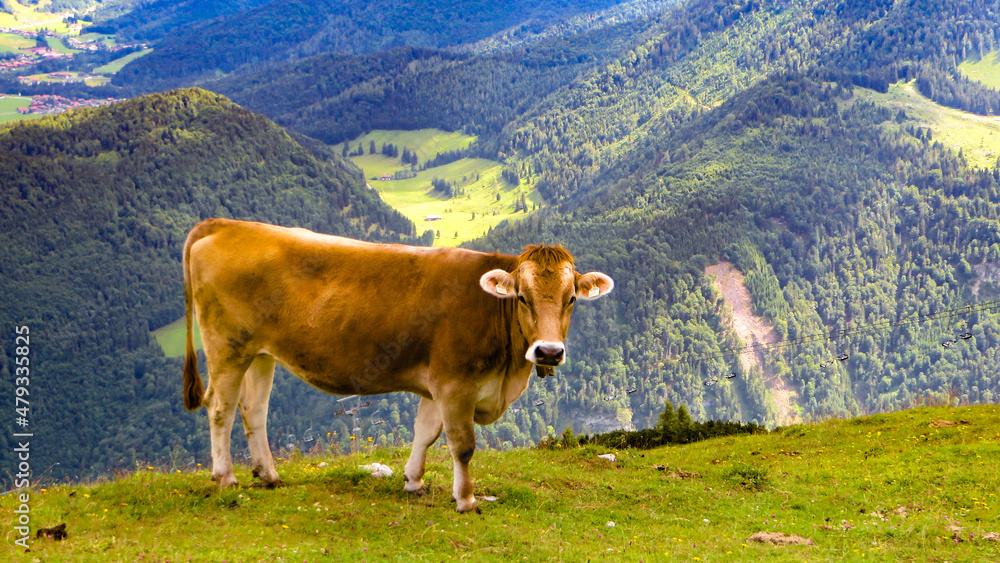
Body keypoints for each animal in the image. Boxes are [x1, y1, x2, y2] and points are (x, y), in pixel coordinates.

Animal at [181, 218, 613, 512]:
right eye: (522, 297)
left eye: (571, 298)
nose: (548, 352)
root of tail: (227, 225)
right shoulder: (454, 382)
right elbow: (462, 445)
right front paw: (466, 500)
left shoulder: (437, 385)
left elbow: (425, 433)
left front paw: (413, 481)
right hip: (227, 347)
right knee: (220, 409)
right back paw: (226, 477)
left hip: (260, 353)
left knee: (253, 410)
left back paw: (268, 475)